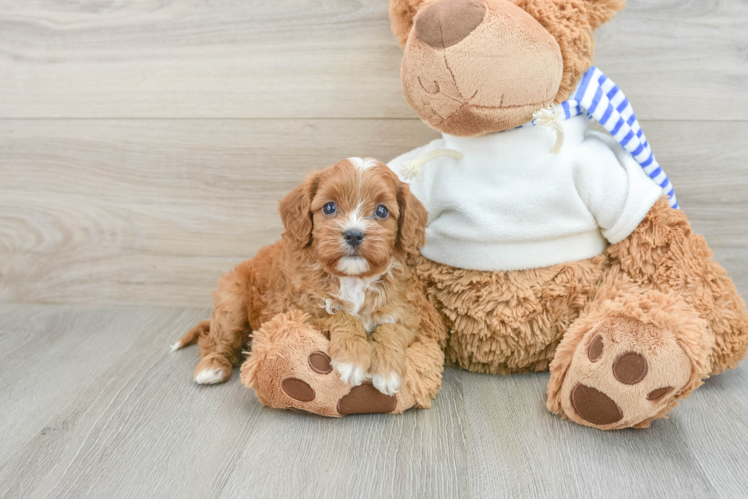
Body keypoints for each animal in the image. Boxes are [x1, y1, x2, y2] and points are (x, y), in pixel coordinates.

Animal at [174, 158, 432, 396]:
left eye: (381, 210)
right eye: (329, 208)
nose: (354, 234)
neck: (352, 278)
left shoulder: (405, 312)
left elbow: (391, 329)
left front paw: (388, 371)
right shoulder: (298, 311)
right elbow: (341, 316)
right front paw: (353, 358)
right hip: (233, 299)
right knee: (217, 339)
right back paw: (212, 367)